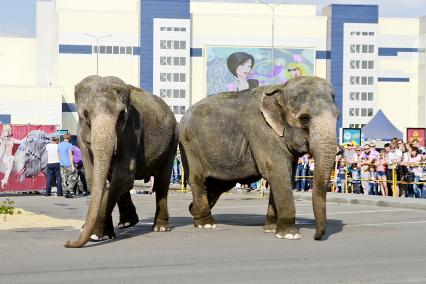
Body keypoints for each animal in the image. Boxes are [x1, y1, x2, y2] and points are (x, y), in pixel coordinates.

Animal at [64, 76, 177, 248]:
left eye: (122, 114)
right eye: (85, 114)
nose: (68, 242)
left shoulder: (131, 132)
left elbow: (124, 176)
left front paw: (95, 235)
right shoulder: (82, 137)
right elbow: (94, 177)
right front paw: (103, 234)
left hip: (172, 141)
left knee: (162, 182)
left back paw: (160, 227)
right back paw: (127, 223)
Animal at [178, 76, 338, 241]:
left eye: (338, 116)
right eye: (304, 119)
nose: (316, 236)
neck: (282, 88)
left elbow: (287, 174)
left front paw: (271, 229)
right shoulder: (261, 130)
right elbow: (277, 172)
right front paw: (290, 235)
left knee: (218, 185)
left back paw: (193, 210)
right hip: (189, 146)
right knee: (198, 180)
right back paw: (206, 224)